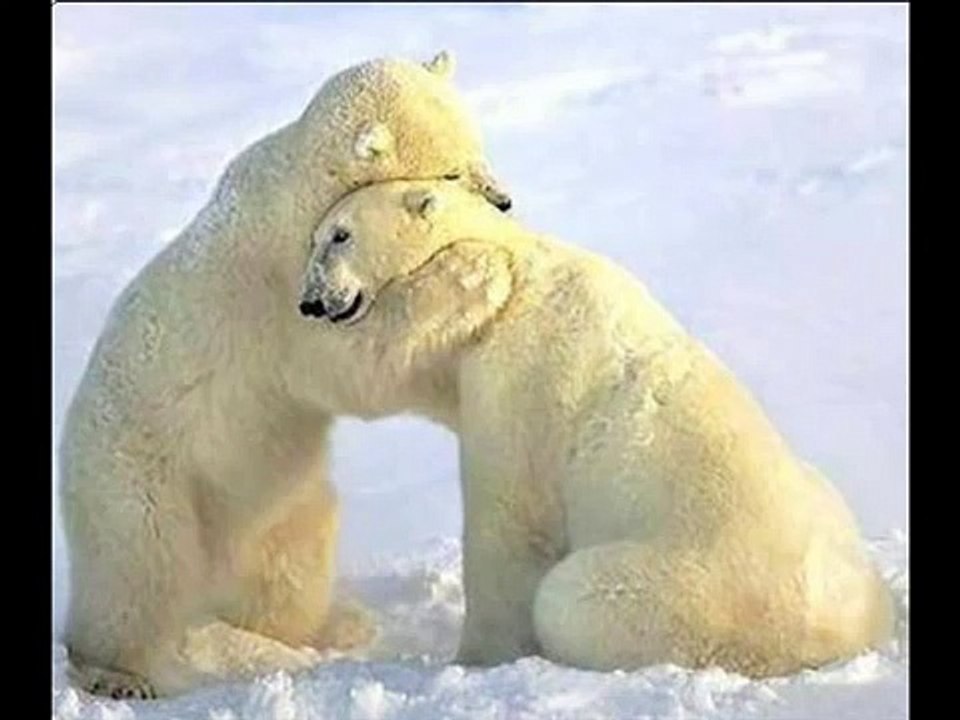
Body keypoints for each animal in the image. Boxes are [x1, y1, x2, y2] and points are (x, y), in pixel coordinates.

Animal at [59, 51, 513, 699]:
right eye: (451, 171)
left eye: (478, 148)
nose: (503, 202)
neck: (298, 186)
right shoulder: (281, 294)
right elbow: (353, 364)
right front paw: (475, 274)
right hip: (138, 482)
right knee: (139, 575)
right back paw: (117, 674)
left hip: (277, 502)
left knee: (291, 562)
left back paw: (332, 626)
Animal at [296, 178, 895, 678]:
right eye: (317, 238)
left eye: (340, 235)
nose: (310, 301)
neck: (523, 267)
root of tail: (845, 629)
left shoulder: (520, 377)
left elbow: (509, 522)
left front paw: (474, 659)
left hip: (690, 590)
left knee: (568, 598)